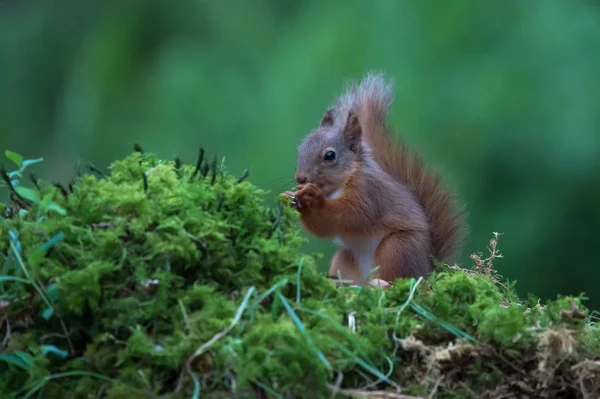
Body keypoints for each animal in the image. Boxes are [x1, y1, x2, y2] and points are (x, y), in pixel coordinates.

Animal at [282, 72, 468, 288]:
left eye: (329, 155)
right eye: (299, 150)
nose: (300, 178)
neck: (340, 185)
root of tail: (427, 272)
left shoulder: (369, 192)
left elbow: (352, 215)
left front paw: (315, 199)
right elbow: (322, 228)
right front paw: (290, 198)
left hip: (398, 248)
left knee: (399, 277)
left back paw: (382, 284)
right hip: (345, 259)